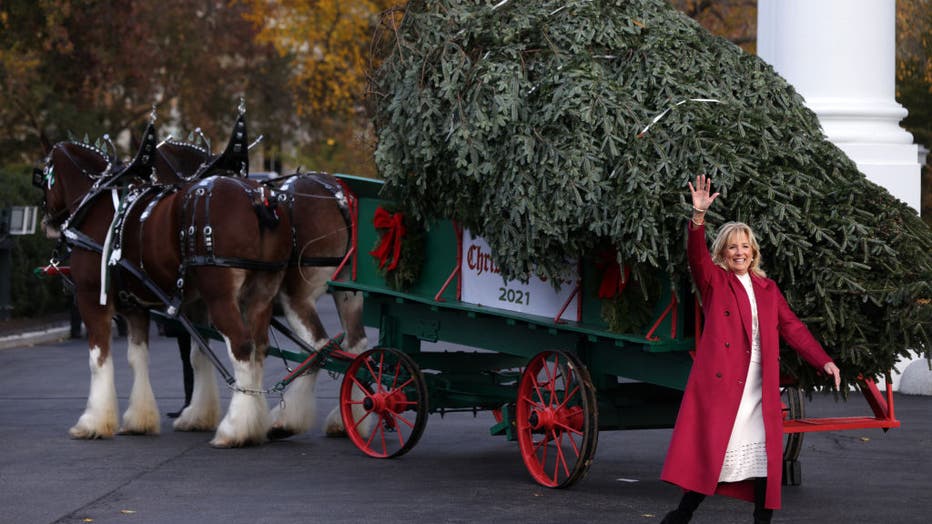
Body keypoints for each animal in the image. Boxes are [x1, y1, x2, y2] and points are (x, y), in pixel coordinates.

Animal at [36, 124, 292, 446]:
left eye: (42, 175)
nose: (47, 222)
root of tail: (258, 198)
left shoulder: (92, 298)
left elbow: (99, 358)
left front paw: (93, 422)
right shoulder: (138, 306)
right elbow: (144, 357)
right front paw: (143, 419)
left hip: (221, 297)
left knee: (242, 346)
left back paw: (235, 429)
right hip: (260, 294)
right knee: (259, 347)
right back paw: (255, 423)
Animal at [154, 137, 368, 436]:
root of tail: (337, 197)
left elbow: (198, 354)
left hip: (297, 296)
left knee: (318, 347)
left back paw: (286, 421)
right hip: (348, 292)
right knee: (356, 346)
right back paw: (348, 419)